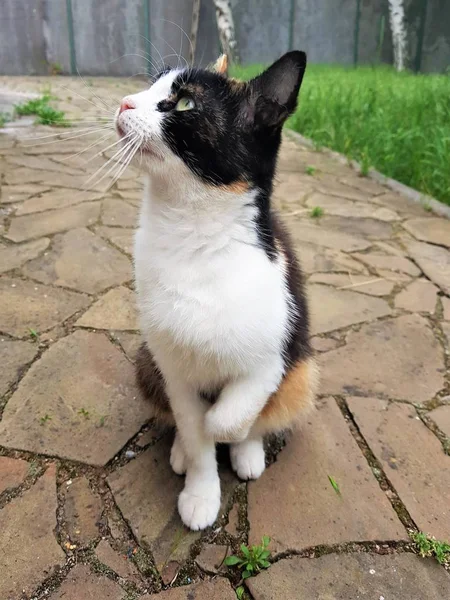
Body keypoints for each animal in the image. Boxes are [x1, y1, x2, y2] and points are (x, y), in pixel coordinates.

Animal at [114, 51, 318, 528]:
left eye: (185, 103)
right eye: (151, 88)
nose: (125, 103)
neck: (195, 239)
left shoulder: (276, 355)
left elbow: (230, 415)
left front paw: (230, 433)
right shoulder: (172, 367)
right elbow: (194, 429)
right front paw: (200, 489)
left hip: (302, 372)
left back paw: (248, 452)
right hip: (145, 361)